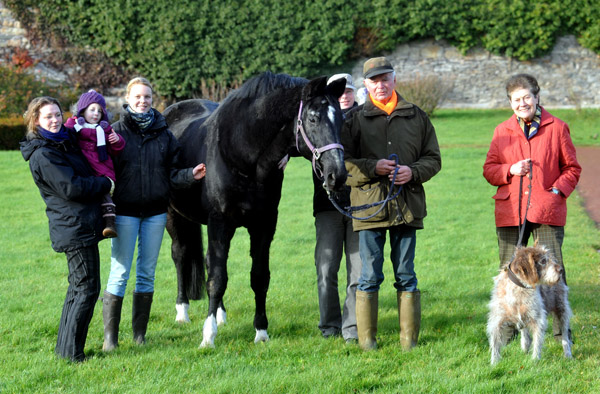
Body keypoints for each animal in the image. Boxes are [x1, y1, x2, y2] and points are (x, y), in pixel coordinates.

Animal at [164, 72, 346, 346]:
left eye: (342, 119)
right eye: (314, 118)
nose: (338, 175)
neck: (242, 153)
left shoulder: (264, 224)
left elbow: (259, 277)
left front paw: (261, 332)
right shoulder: (220, 223)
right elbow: (217, 279)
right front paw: (208, 336)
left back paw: (220, 314)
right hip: (173, 215)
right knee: (180, 255)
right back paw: (182, 312)